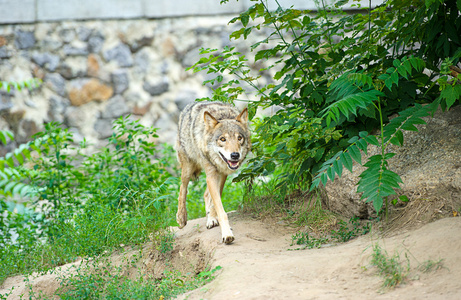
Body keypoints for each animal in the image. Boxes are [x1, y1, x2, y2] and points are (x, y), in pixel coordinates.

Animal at [176, 101, 250, 244]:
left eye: (239, 138)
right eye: (222, 139)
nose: (235, 155)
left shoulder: (222, 173)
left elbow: (216, 202)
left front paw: (213, 218)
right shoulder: (211, 174)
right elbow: (221, 210)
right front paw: (227, 234)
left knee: (205, 194)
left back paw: (210, 218)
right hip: (187, 167)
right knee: (183, 188)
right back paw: (181, 218)